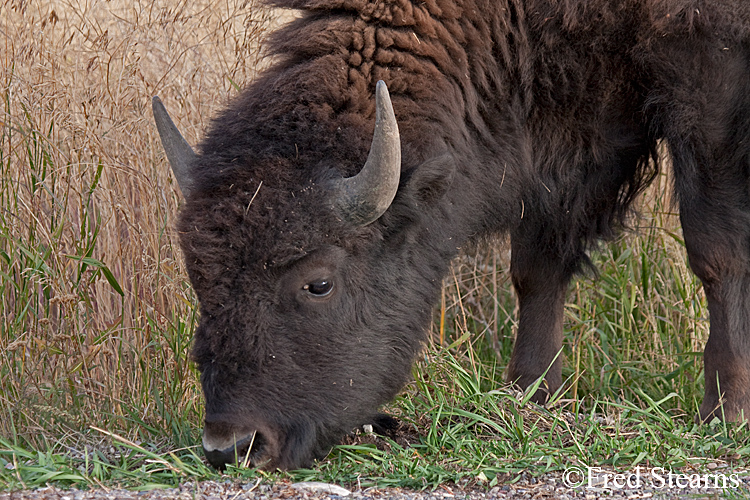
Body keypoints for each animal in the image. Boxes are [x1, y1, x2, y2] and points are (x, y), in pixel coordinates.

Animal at [151, 0, 750, 468]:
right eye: (200, 279)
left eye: (318, 283)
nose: (231, 446)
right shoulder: (571, 120)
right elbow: (537, 268)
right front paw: (528, 395)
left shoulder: (708, 81)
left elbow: (715, 252)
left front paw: (725, 415)